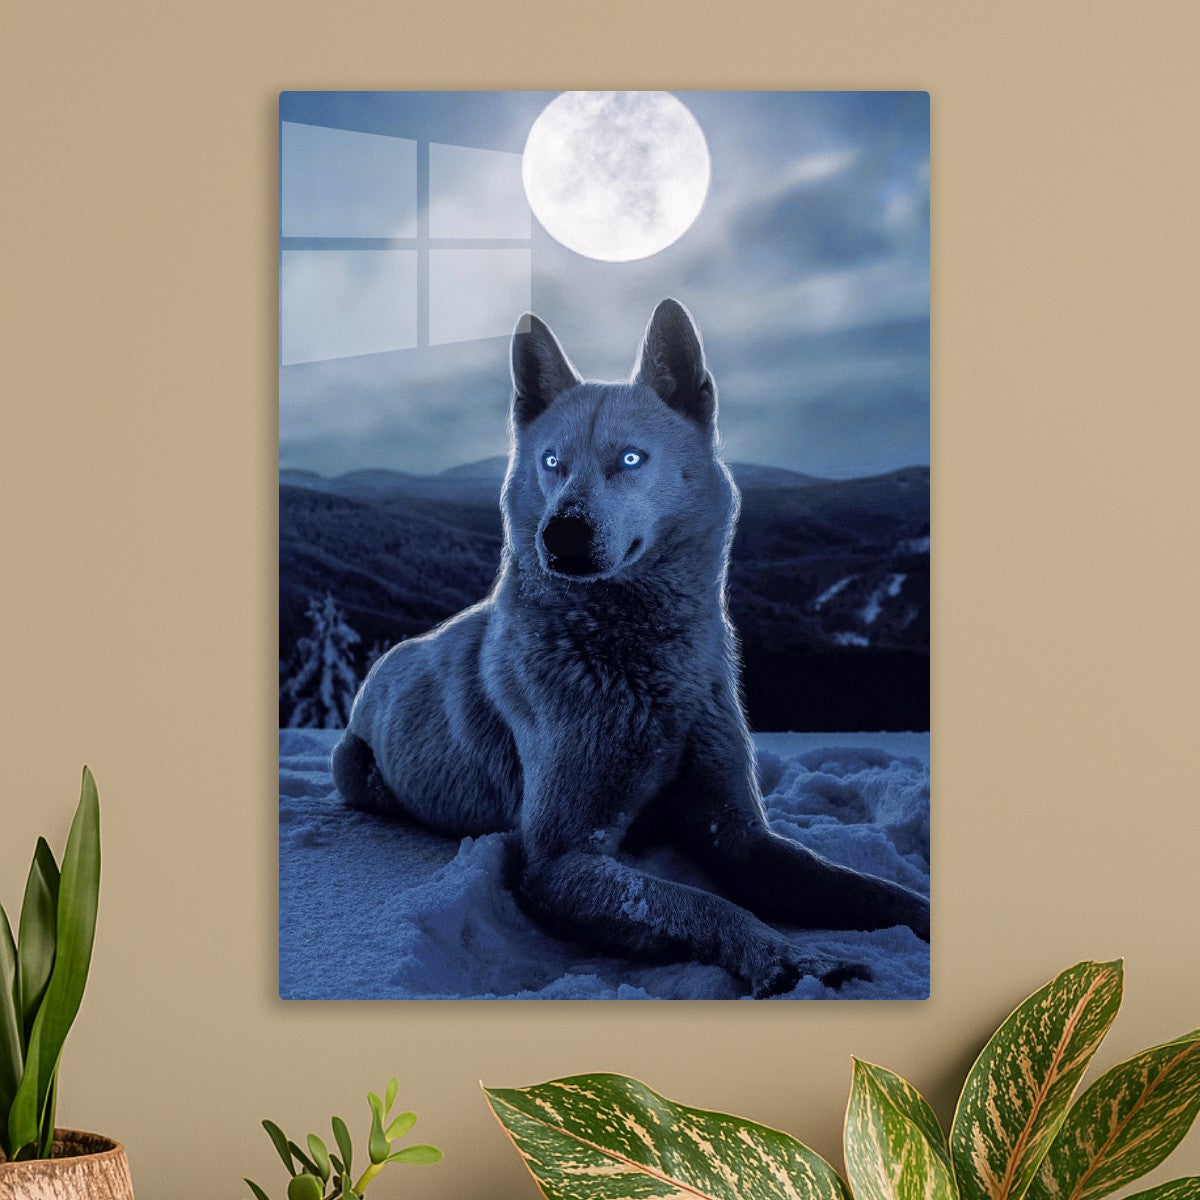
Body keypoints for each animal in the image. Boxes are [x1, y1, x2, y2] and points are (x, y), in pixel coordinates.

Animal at [332, 299, 929, 997]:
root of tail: (387, 660)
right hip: (353, 768)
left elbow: (866, 889)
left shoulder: (738, 833)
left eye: (632, 459)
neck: (643, 669)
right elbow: (700, 902)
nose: (560, 535)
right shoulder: (560, 861)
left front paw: (914, 914)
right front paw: (789, 959)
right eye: (553, 463)